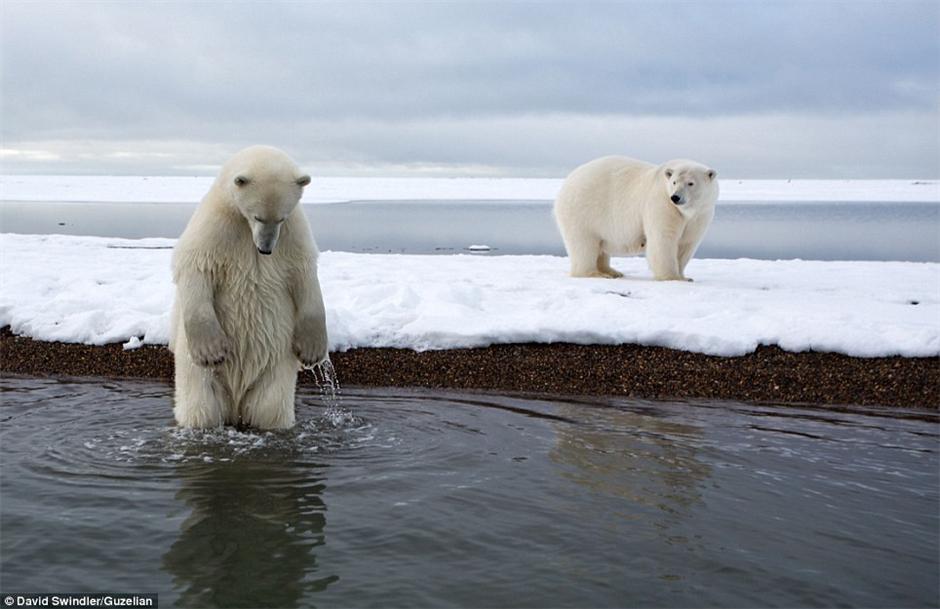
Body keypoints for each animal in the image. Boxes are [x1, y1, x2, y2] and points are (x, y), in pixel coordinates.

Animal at [171, 146, 328, 432]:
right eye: (257, 216)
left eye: (281, 217)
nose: (265, 249)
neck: (243, 225)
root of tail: (235, 405)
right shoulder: (216, 225)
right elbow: (196, 267)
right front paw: (211, 351)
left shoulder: (293, 233)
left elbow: (305, 276)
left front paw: (312, 350)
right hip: (198, 376)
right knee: (201, 408)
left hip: (274, 363)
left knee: (269, 406)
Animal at [552, 157, 720, 280]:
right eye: (674, 182)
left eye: (690, 183)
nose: (675, 197)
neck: (685, 211)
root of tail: (566, 182)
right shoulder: (662, 205)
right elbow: (663, 239)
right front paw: (672, 277)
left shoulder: (700, 215)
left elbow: (687, 243)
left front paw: (684, 276)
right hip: (582, 212)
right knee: (584, 244)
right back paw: (596, 274)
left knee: (600, 245)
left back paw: (612, 271)